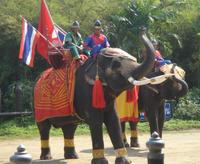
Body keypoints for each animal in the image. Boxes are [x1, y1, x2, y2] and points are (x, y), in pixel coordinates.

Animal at [34, 29, 159, 164]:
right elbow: (96, 121)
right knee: (44, 128)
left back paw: (72, 156)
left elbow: (114, 120)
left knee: (70, 127)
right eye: (116, 63)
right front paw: (101, 162)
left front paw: (125, 161)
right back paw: (46, 157)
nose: (143, 30)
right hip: (38, 107)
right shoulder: (86, 93)